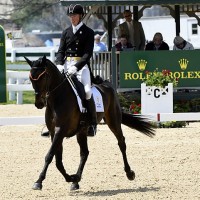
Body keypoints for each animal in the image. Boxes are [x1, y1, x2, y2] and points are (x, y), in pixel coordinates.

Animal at [24, 55, 155, 191]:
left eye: (43, 77)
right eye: (31, 78)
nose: (39, 103)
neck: (58, 98)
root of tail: (107, 84)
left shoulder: (60, 130)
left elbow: (49, 155)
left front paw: (39, 182)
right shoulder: (53, 132)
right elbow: (57, 160)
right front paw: (70, 178)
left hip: (113, 121)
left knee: (121, 143)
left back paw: (129, 173)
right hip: (82, 131)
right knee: (84, 153)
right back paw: (76, 181)